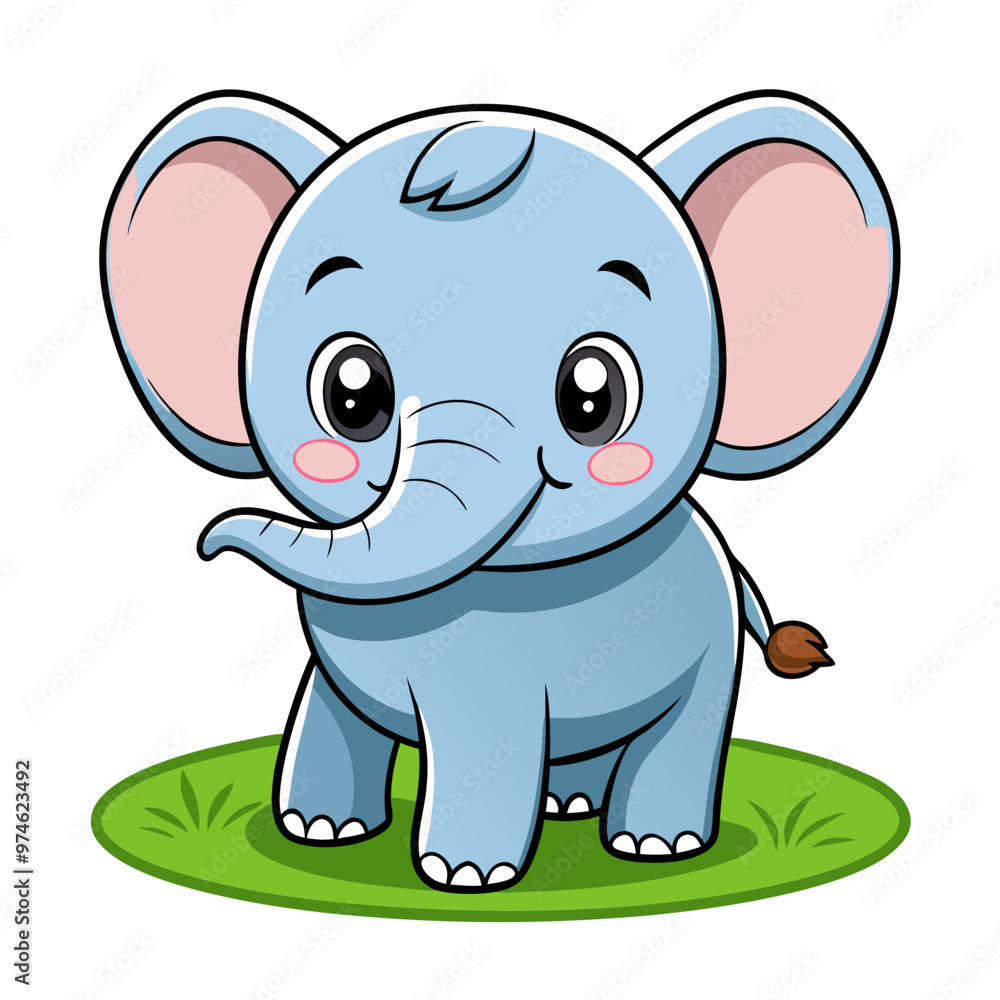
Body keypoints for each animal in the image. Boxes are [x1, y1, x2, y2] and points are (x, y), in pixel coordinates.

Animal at [101, 89, 897, 892]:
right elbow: (328, 711)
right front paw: (320, 831)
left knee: (681, 730)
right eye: (350, 393)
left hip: (711, 651)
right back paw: (568, 806)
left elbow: (484, 744)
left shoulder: (494, 688)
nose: (207, 543)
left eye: (593, 398)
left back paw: (654, 844)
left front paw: (462, 876)